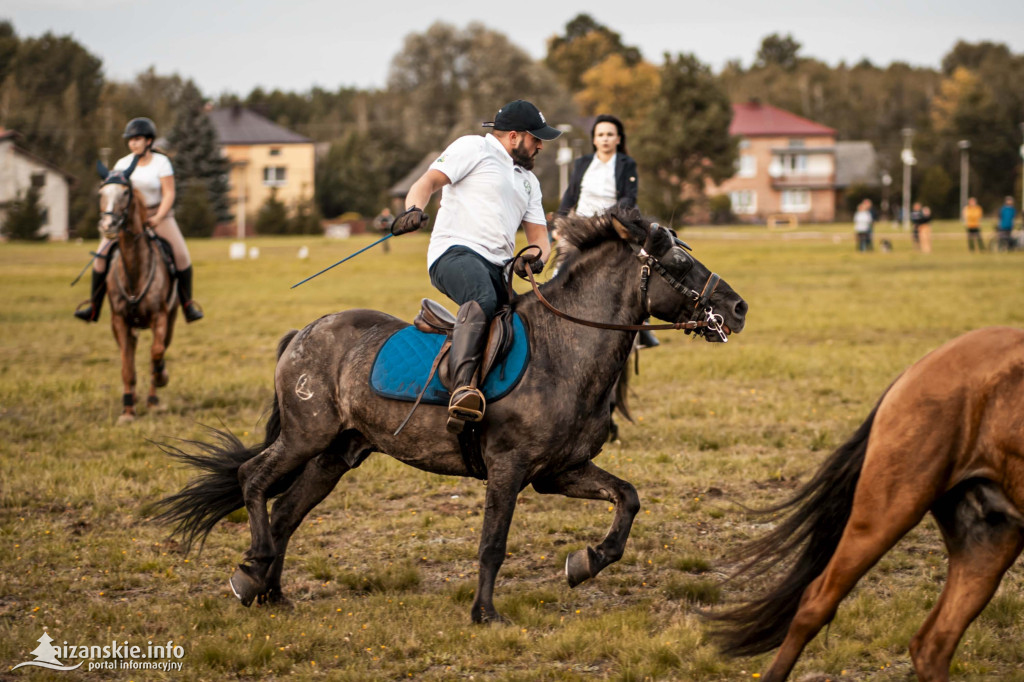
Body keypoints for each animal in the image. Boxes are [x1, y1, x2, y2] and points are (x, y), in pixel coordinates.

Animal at [95, 159, 177, 421]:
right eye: (101, 192)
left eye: (125, 192)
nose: (108, 225)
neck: (134, 271)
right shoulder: (119, 321)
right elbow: (126, 366)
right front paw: (128, 409)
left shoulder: (160, 317)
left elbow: (156, 353)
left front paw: (162, 378)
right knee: (130, 354)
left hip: (170, 320)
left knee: (158, 351)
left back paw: (152, 398)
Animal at [155, 210, 749, 622]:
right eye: (678, 264)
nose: (738, 308)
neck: (565, 349)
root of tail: (306, 331)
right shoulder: (509, 469)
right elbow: (493, 543)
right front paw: (485, 613)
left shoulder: (559, 472)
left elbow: (627, 499)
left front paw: (585, 562)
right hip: (306, 437)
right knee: (253, 479)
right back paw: (251, 570)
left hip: (335, 455)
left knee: (286, 514)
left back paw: (271, 592)